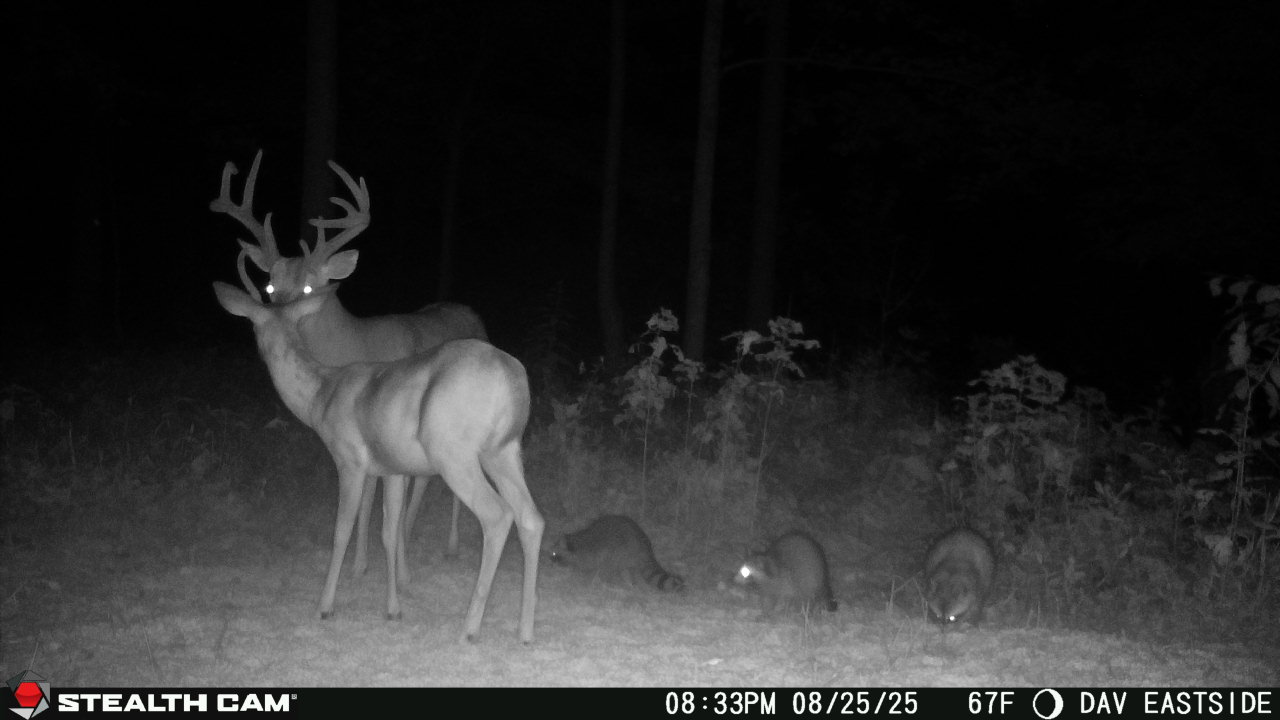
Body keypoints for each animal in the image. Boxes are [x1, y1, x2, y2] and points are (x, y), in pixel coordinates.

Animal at [210, 150, 476, 583]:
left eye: (309, 287)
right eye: (270, 285)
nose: (278, 314)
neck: (349, 348)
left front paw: (382, 566)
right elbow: (368, 498)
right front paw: (362, 564)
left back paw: (448, 544)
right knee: (424, 479)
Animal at [213, 279, 544, 643]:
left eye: (253, 326)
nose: (259, 353)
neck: (320, 396)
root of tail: (512, 377)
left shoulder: (350, 459)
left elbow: (341, 530)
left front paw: (325, 606)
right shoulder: (393, 469)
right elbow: (388, 531)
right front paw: (393, 609)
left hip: (454, 454)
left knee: (498, 516)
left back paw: (469, 629)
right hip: (504, 450)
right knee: (532, 518)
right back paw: (525, 630)